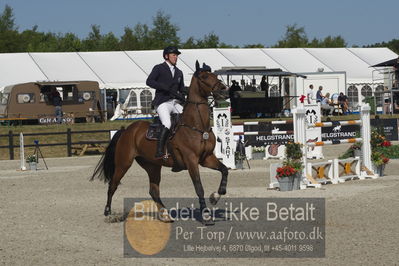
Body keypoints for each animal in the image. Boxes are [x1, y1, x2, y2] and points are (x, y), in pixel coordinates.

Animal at [90, 60, 228, 224]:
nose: (224, 90)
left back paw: (165, 215)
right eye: (205, 76)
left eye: (215, 75)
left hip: (152, 166)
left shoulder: (206, 158)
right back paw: (108, 212)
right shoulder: (191, 160)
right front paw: (206, 215)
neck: (197, 126)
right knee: (113, 184)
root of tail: (127, 130)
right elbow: (199, 187)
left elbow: (224, 170)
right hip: (124, 163)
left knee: (153, 191)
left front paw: (216, 196)